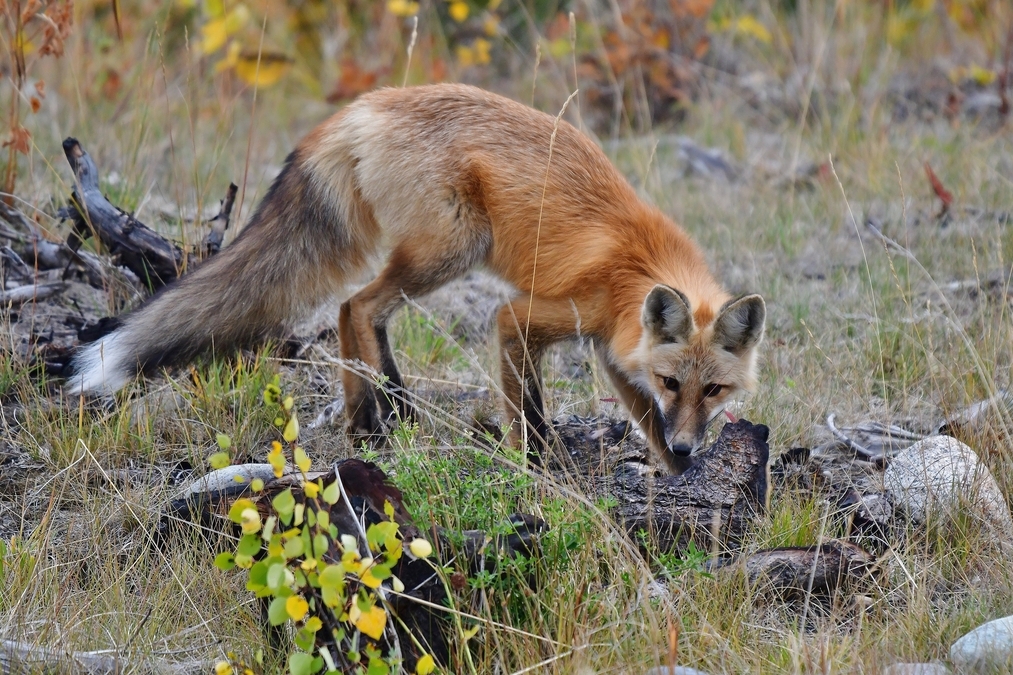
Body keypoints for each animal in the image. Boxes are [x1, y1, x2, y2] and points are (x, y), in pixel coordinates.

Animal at [71, 84, 761, 472]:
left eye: (714, 391)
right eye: (675, 381)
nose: (690, 450)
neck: (637, 267)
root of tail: (360, 107)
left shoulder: (614, 349)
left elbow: (645, 418)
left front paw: (674, 470)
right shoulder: (526, 317)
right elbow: (529, 412)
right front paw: (539, 465)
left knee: (351, 310)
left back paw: (367, 417)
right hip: (450, 249)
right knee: (358, 305)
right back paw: (383, 411)